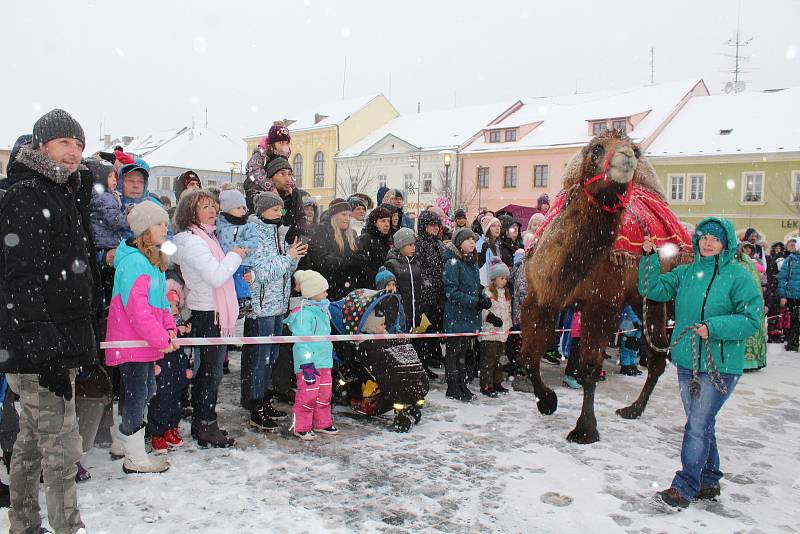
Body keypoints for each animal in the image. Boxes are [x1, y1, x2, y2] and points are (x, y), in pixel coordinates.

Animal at [520, 129, 692, 444]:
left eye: (636, 151)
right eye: (597, 149)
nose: (627, 157)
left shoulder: (601, 303)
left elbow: (589, 368)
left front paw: (584, 429)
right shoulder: (539, 297)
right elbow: (528, 356)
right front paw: (547, 401)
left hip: (660, 293)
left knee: (664, 352)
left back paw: (635, 409)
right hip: (643, 297)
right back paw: (634, 409)